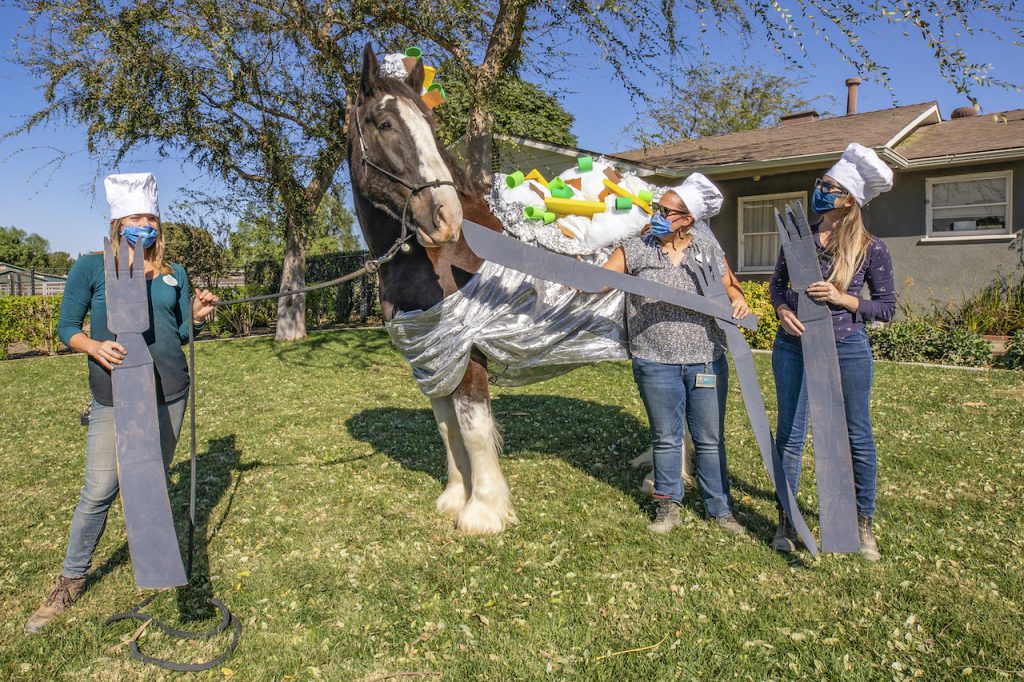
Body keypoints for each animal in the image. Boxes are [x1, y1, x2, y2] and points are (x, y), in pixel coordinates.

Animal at [348, 45, 516, 532]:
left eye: (430, 124)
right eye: (385, 124)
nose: (446, 216)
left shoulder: (467, 349)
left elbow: (474, 425)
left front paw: (483, 512)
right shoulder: (432, 353)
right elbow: (447, 426)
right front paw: (455, 497)